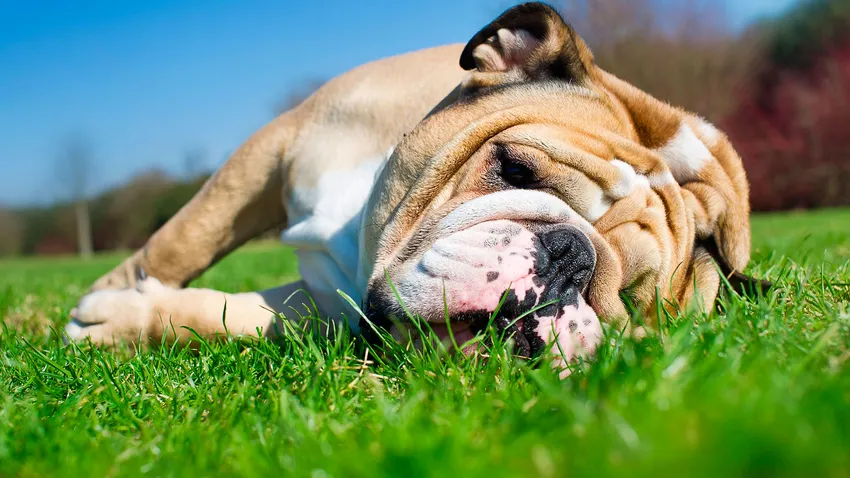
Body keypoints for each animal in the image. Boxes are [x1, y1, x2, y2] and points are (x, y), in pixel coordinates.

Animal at [65, 3, 765, 375]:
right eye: (515, 169)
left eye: (627, 300)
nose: (572, 257)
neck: (360, 235)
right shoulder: (272, 149)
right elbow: (183, 239)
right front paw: (112, 296)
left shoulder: (336, 308)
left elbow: (245, 316)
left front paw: (126, 321)